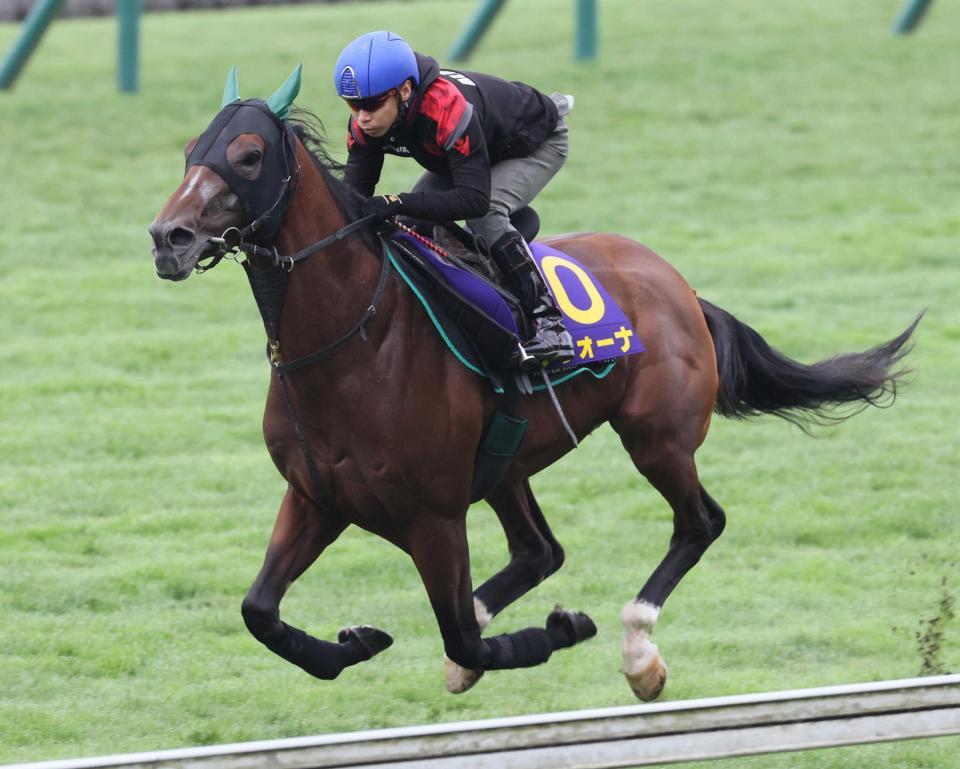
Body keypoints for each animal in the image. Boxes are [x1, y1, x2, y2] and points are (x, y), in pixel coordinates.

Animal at [146, 69, 920, 700]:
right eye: (189, 151)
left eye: (248, 156)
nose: (167, 238)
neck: (351, 342)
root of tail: (679, 284)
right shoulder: (316, 497)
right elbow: (259, 612)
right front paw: (357, 642)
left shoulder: (433, 516)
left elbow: (462, 634)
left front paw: (562, 629)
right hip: (507, 460)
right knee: (539, 550)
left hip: (657, 437)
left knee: (699, 522)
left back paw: (638, 652)